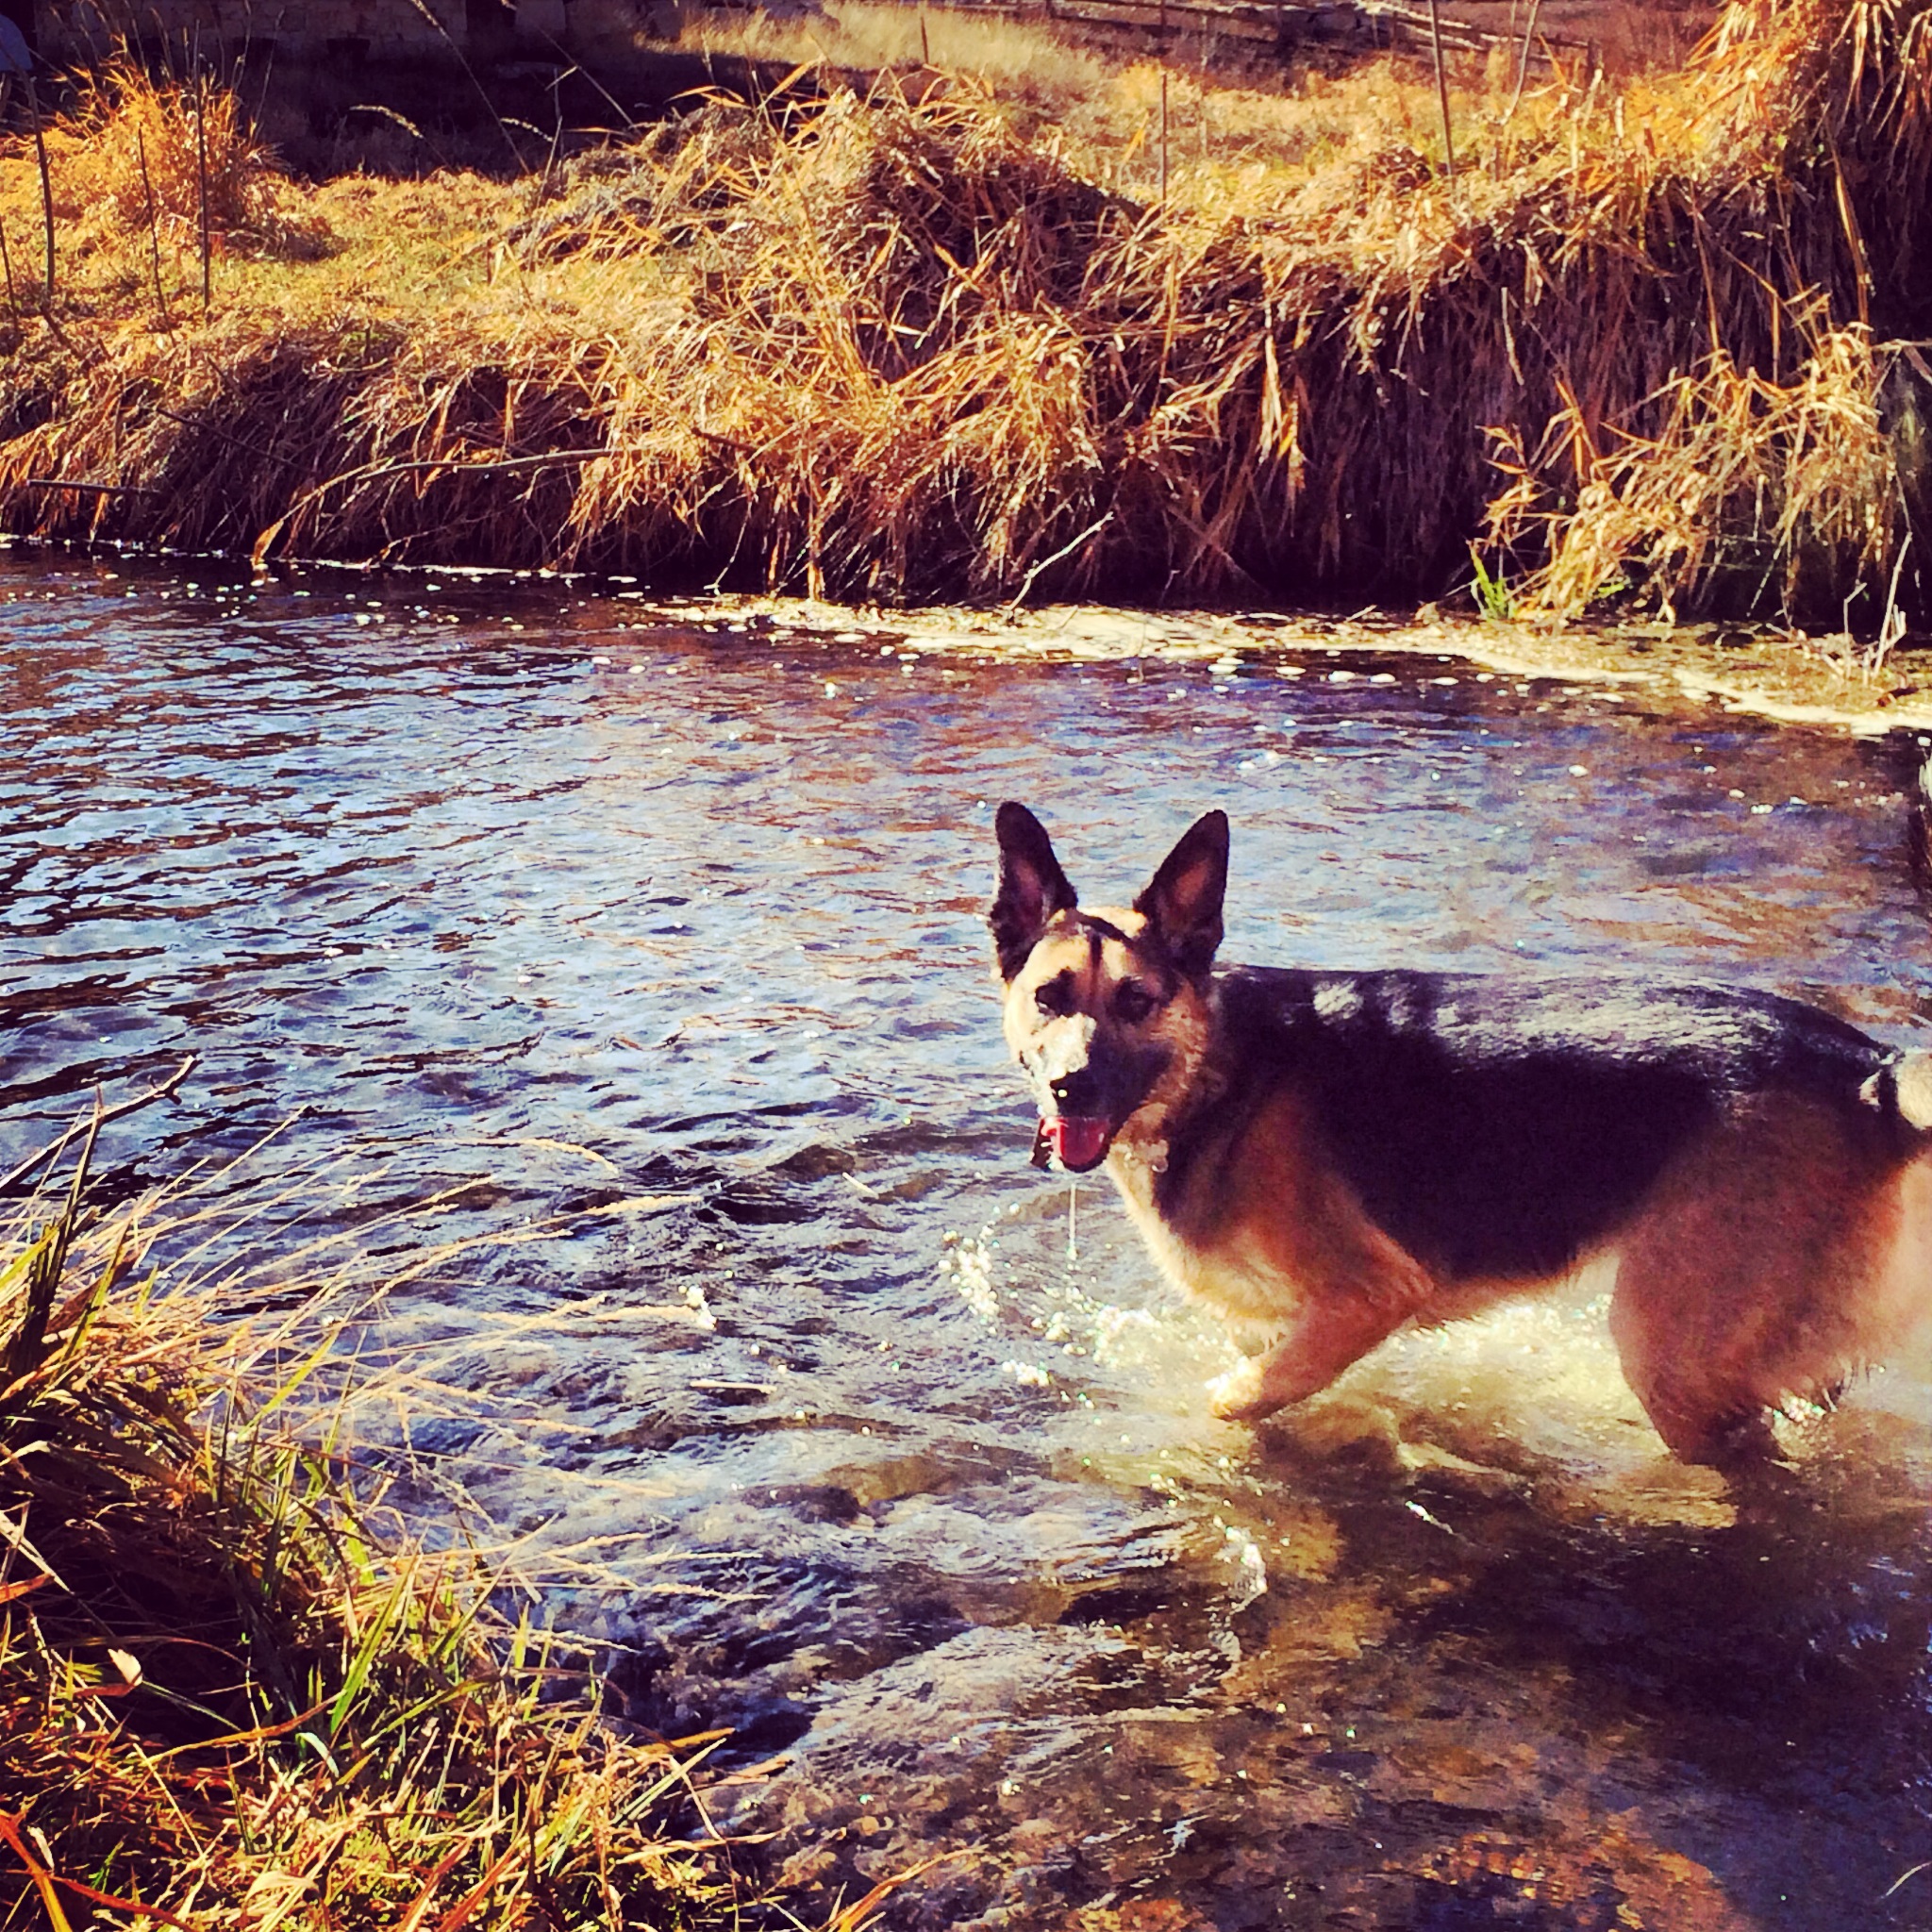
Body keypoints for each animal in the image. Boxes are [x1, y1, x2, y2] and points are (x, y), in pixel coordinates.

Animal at [989, 799, 1932, 1464]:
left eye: (1137, 1002)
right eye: (1050, 999)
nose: (1072, 1089)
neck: (1219, 1079)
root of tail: (1869, 1067)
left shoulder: (1368, 1297)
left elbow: (1233, 1397)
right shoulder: (1269, 1323)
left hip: (1670, 1351)